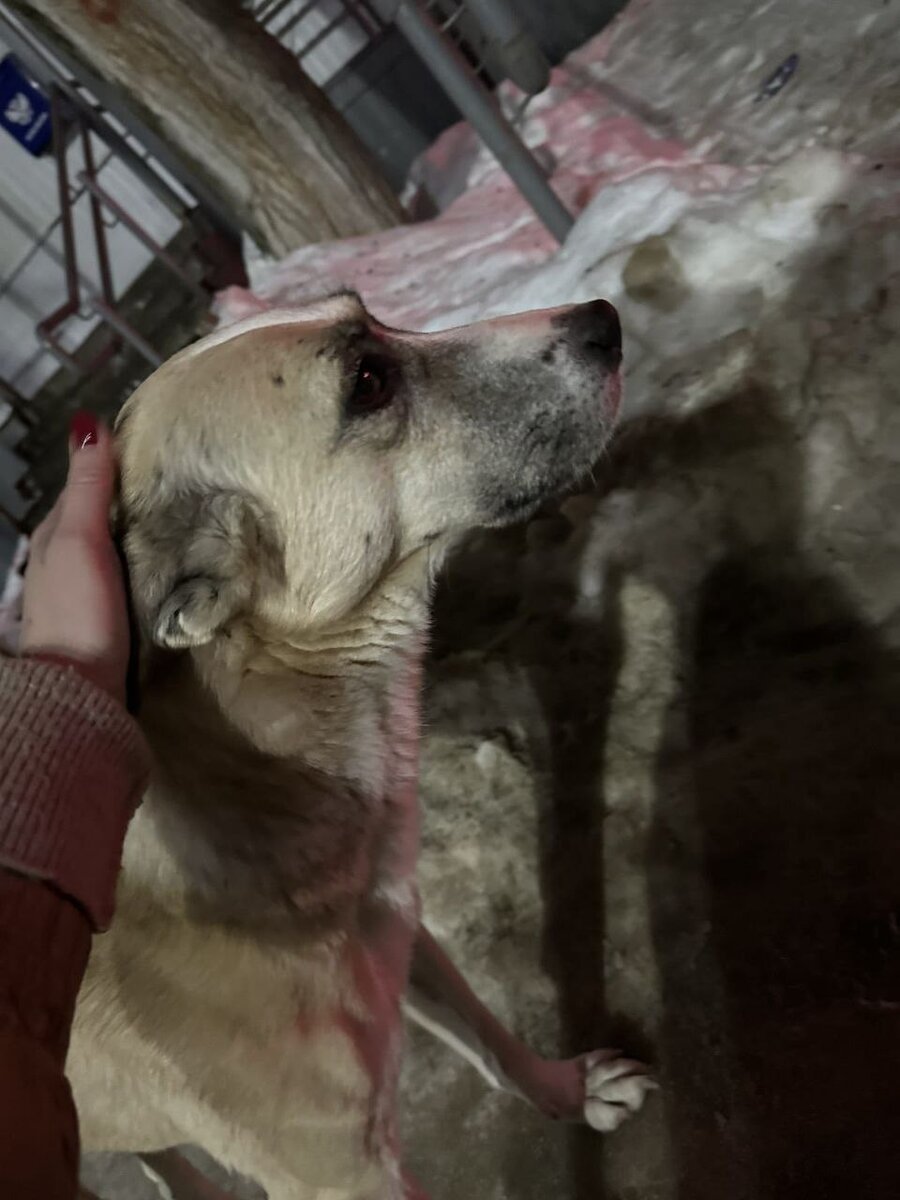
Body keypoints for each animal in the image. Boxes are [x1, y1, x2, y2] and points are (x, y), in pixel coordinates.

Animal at [70, 293, 655, 1200]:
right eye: (368, 382)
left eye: (372, 315)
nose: (603, 318)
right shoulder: (339, 1175)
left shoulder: (399, 931)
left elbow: (490, 1042)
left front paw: (568, 1092)